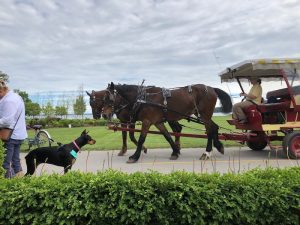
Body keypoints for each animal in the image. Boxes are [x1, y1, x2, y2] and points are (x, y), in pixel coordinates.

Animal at [102, 81, 232, 163]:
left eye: (109, 98)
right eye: (103, 98)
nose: (104, 114)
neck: (143, 99)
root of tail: (212, 88)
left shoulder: (147, 121)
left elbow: (141, 139)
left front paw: (134, 156)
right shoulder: (157, 122)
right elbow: (167, 136)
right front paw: (175, 152)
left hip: (204, 115)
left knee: (209, 131)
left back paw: (207, 152)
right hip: (204, 115)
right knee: (214, 127)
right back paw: (219, 146)